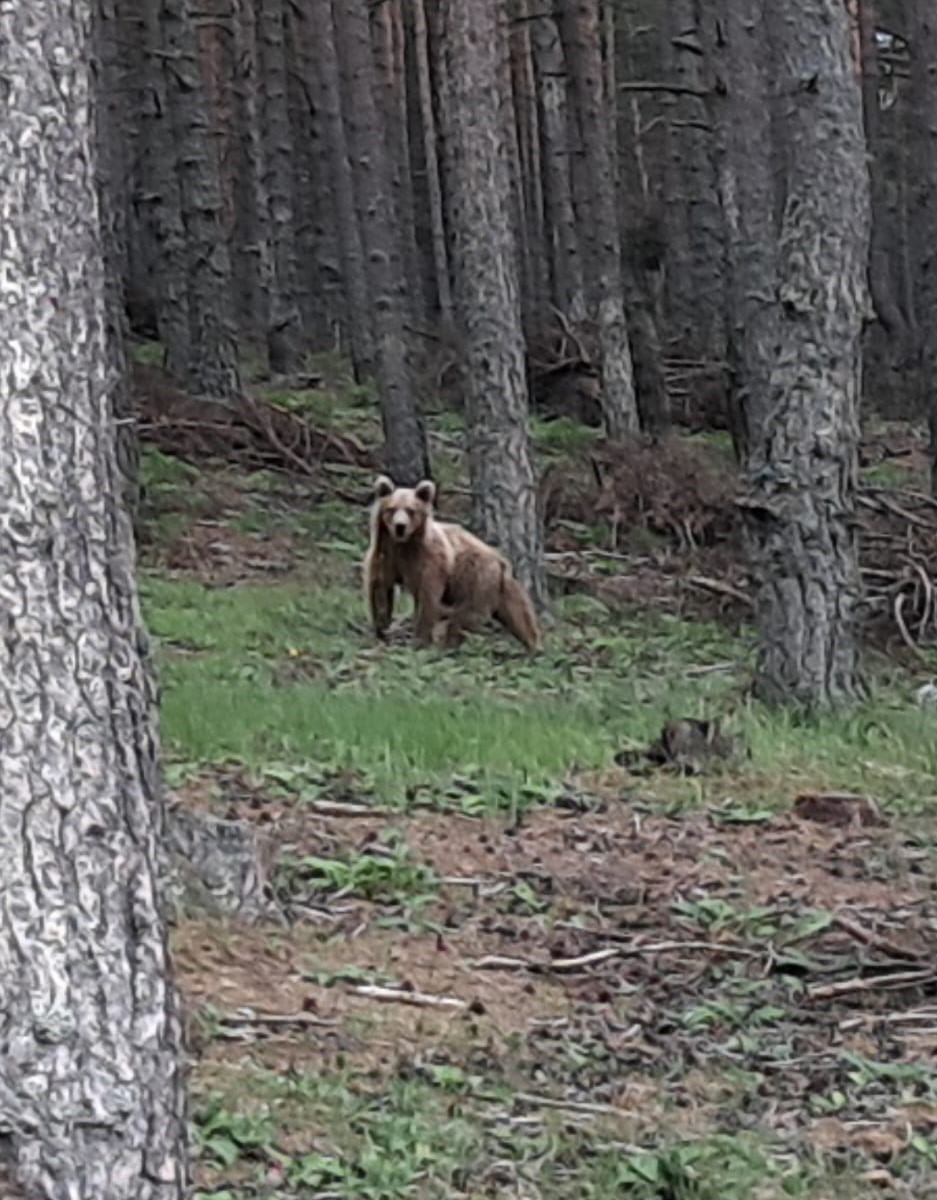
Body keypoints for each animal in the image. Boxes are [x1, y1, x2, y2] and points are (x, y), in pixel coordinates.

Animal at [364, 472, 539, 652]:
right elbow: (380, 589)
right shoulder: (386, 554)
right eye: (391, 509)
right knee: (518, 615)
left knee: (468, 614)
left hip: (476, 576)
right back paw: (532, 644)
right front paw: (381, 631)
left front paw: (419, 640)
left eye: (411, 510)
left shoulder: (428, 560)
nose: (400, 526)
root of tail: (500, 560)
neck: (404, 544)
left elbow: (427, 597)